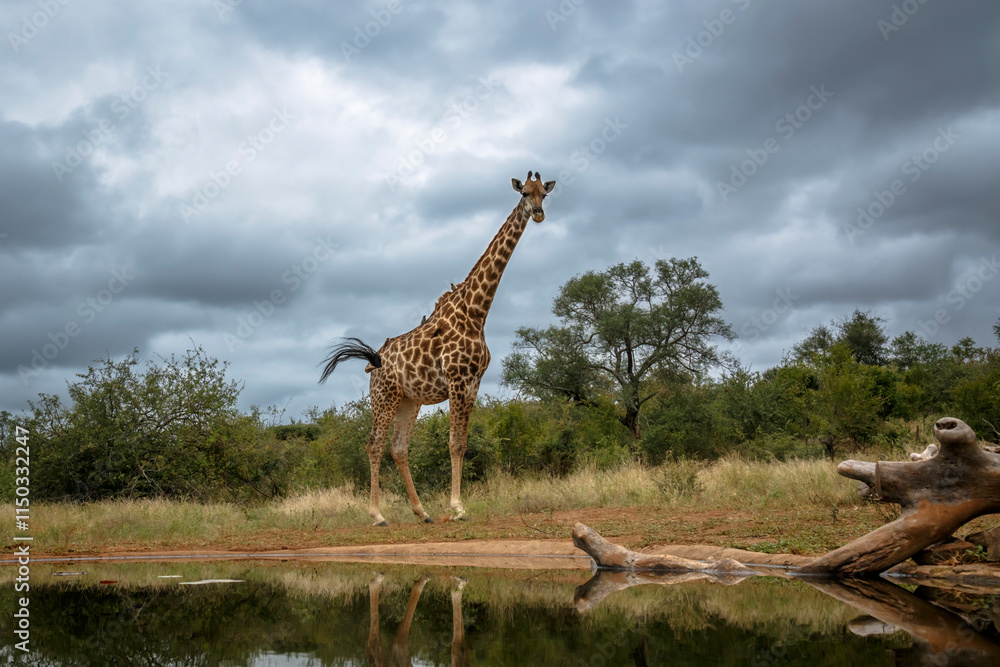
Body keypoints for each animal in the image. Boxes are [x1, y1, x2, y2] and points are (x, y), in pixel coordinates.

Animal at [319, 171, 556, 525]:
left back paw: (422, 512)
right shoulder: (458, 382)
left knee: (398, 447)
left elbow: (462, 443)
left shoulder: (473, 384)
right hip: (384, 397)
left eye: (545, 193)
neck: (476, 313)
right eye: (525, 193)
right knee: (374, 445)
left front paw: (453, 505)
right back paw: (378, 515)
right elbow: (454, 443)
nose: (539, 214)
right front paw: (458, 508)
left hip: (409, 401)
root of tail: (373, 360)